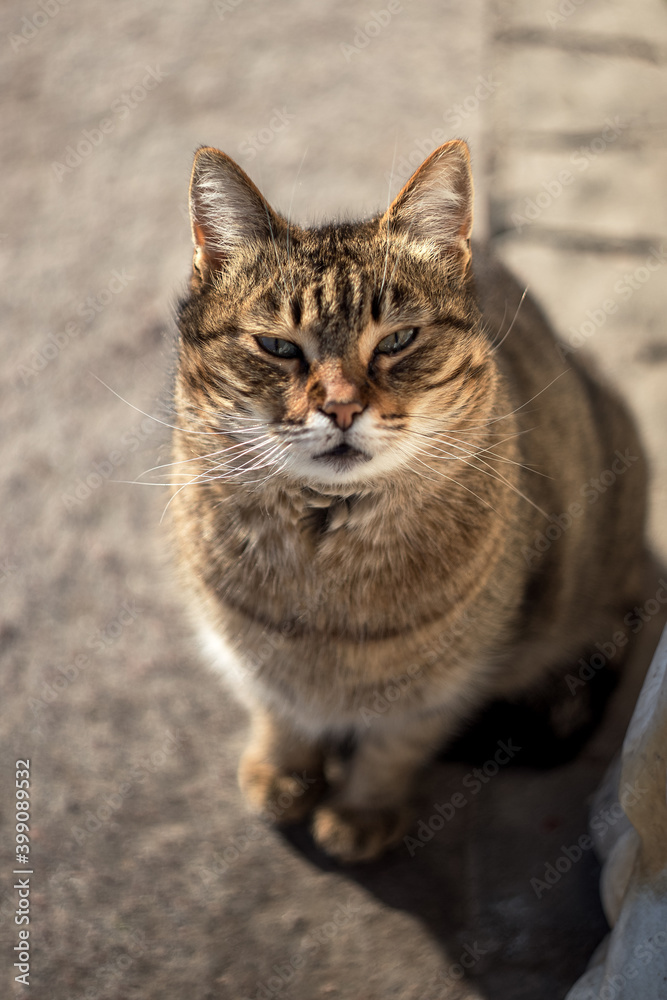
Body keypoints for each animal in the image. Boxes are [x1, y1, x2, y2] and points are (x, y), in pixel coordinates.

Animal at [168, 137, 648, 864]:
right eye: (278, 347)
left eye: (396, 340)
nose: (341, 407)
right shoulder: (246, 649)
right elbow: (279, 712)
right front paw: (282, 773)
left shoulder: (446, 682)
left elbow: (392, 748)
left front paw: (360, 812)